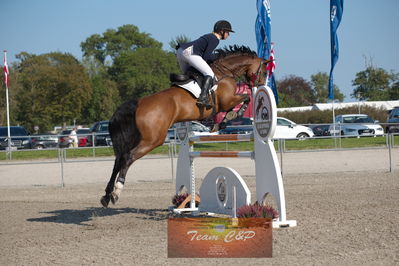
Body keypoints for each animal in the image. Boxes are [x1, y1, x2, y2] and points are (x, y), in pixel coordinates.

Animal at [101, 45, 268, 208]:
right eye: (265, 72)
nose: (260, 86)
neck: (225, 72)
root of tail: (138, 104)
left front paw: (219, 122)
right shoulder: (227, 101)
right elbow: (244, 99)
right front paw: (229, 117)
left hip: (132, 138)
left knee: (118, 160)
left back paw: (106, 196)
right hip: (153, 140)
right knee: (128, 157)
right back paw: (116, 192)